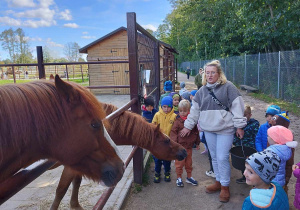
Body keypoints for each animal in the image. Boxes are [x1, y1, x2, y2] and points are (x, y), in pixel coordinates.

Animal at [50, 103, 186, 210]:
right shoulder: (71, 166)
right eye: (167, 141)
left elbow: (76, 183)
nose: (184, 151)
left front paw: (75, 205)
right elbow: (61, 190)